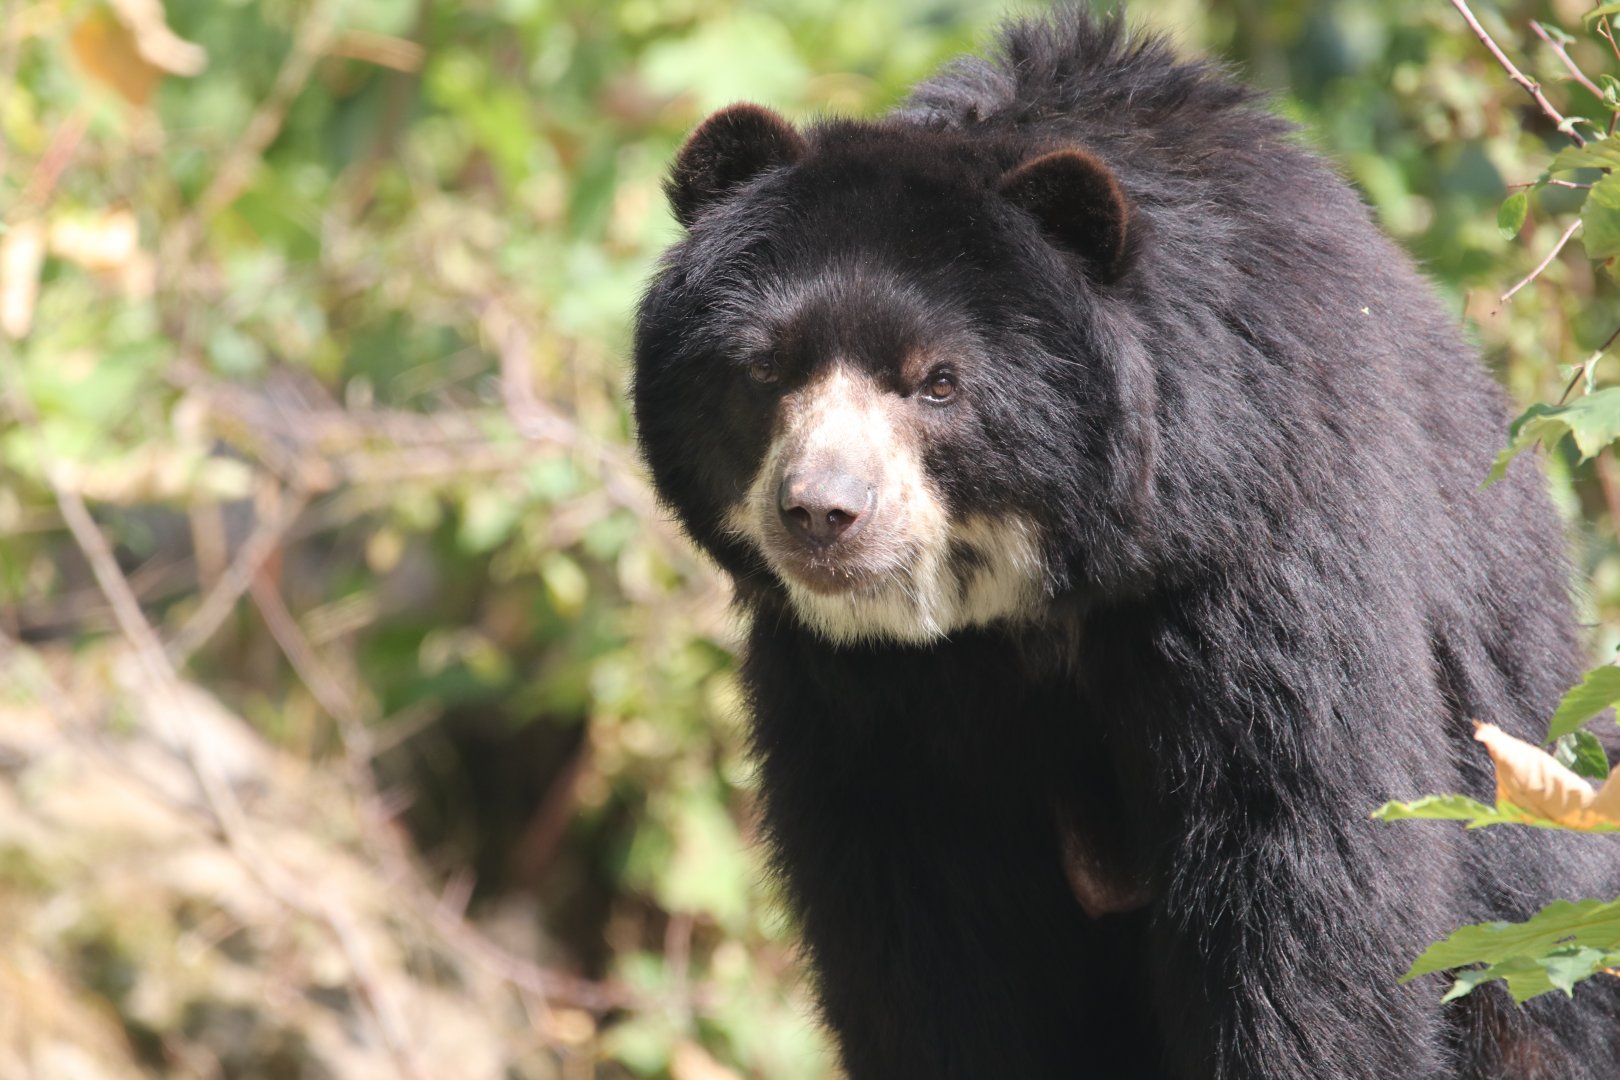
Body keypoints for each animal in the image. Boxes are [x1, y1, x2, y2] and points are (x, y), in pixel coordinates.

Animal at [631, 9, 1620, 1079]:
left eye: (938, 382)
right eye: (767, 367)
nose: (822, 512)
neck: (1038, 601)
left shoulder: (1270, 561)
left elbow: (1310, 889)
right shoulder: (857, 692)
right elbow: (918, 947)